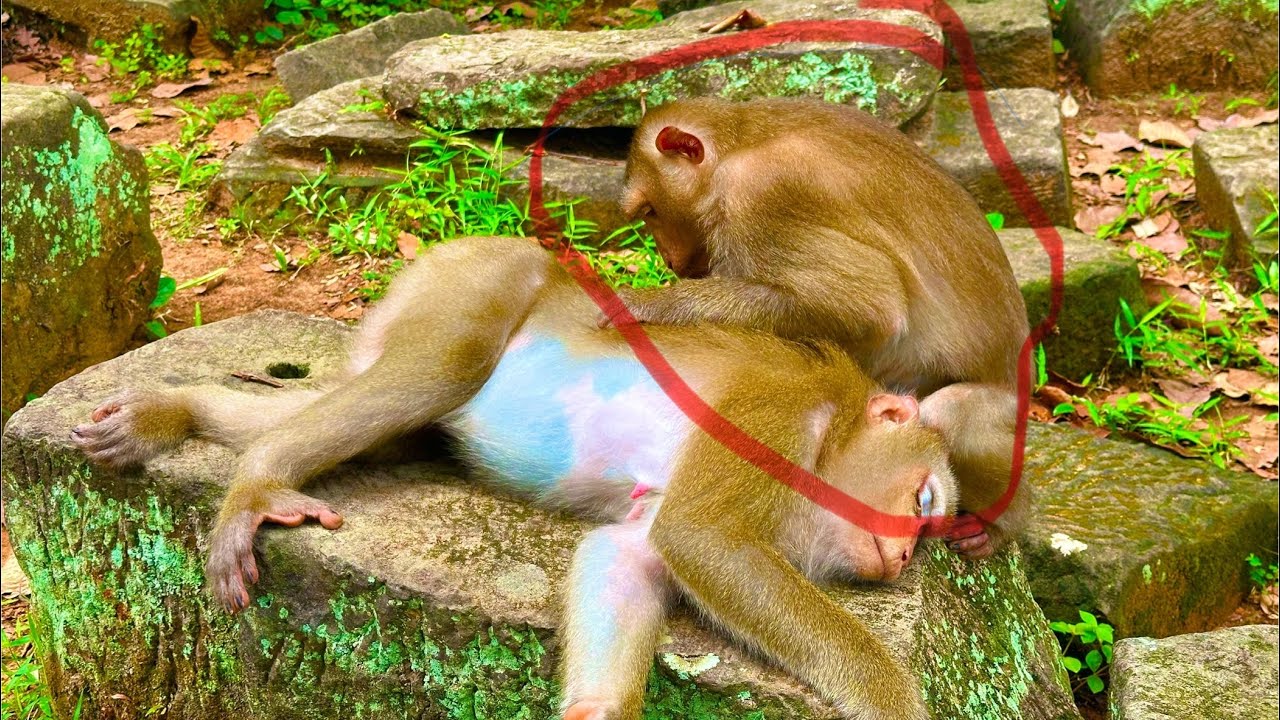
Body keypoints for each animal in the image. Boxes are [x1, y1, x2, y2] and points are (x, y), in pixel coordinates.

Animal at [74, 236, 958, 720]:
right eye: (923, 501)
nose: (908, 553)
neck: (828, 437)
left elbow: (634, 555)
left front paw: (595, 711)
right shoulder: (776, 409)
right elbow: (702, 536)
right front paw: (894, 699)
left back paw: (171, 412)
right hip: (474, 281)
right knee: (444, 366)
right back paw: (258, 480)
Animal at [614, 97, 1032, 558]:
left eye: (650, 211)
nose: (669, 260)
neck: (739, 143)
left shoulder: (761, 194)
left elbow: (872, 308)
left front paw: (647, 303)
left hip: (1004, 418)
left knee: (947, 414)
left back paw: (1004, 521)